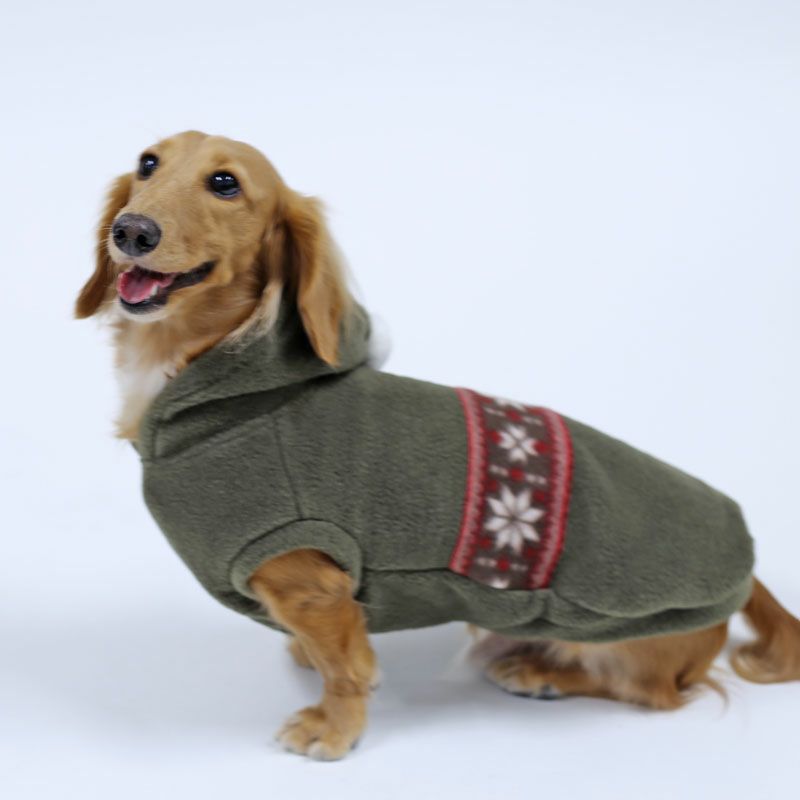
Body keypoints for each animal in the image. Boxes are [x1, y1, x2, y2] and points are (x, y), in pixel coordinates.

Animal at [77, 131, 800, 760]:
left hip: (619, 638)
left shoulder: (313, 580)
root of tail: (747, 569)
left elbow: (347, 668)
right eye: (147, 164)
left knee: (653, 691)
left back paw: (539, 671)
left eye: (225, 183)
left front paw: (333, 728)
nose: (132, 231)